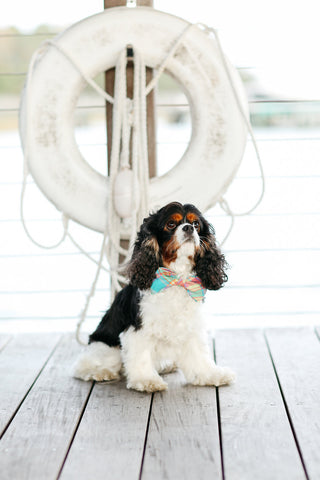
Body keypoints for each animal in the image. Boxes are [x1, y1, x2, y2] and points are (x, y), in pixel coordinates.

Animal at [74, 201, 235, 392]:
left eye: (196, 224)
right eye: (171, 224)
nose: (188, 228)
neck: (176, 277)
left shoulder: (191, 328)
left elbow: (199, 357)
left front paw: (211, 375)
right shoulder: (138, 330)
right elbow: (141, 356)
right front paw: (147, 380)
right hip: (106, 347)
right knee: (83, 365)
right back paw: (100, 372)